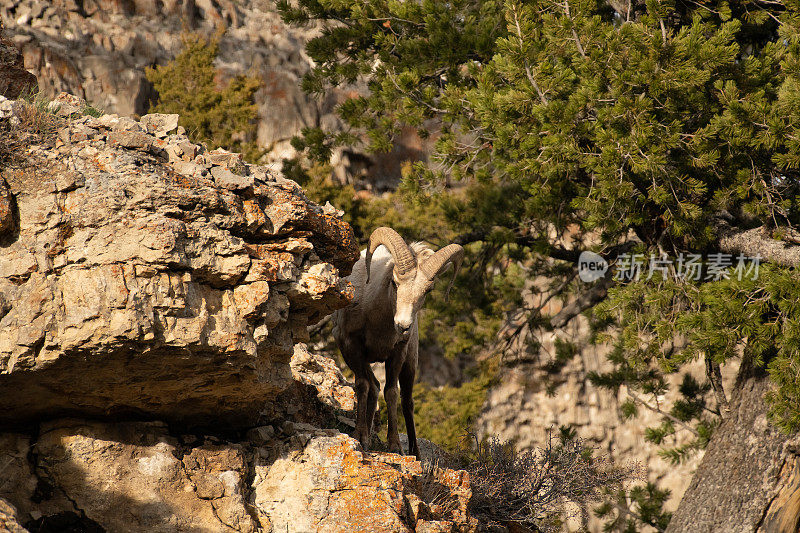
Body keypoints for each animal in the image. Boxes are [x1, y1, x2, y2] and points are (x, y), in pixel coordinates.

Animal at [334, 227, 466, 456]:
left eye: (427, 291)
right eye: (394, 283)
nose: (403, 326)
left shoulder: (397, 353)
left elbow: (392, 393)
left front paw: (395, 445)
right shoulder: (352, 348)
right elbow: (362, 385)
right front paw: (360, 436)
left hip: (410, 363)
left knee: (406, 401)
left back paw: (415, 452)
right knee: (373, 386)